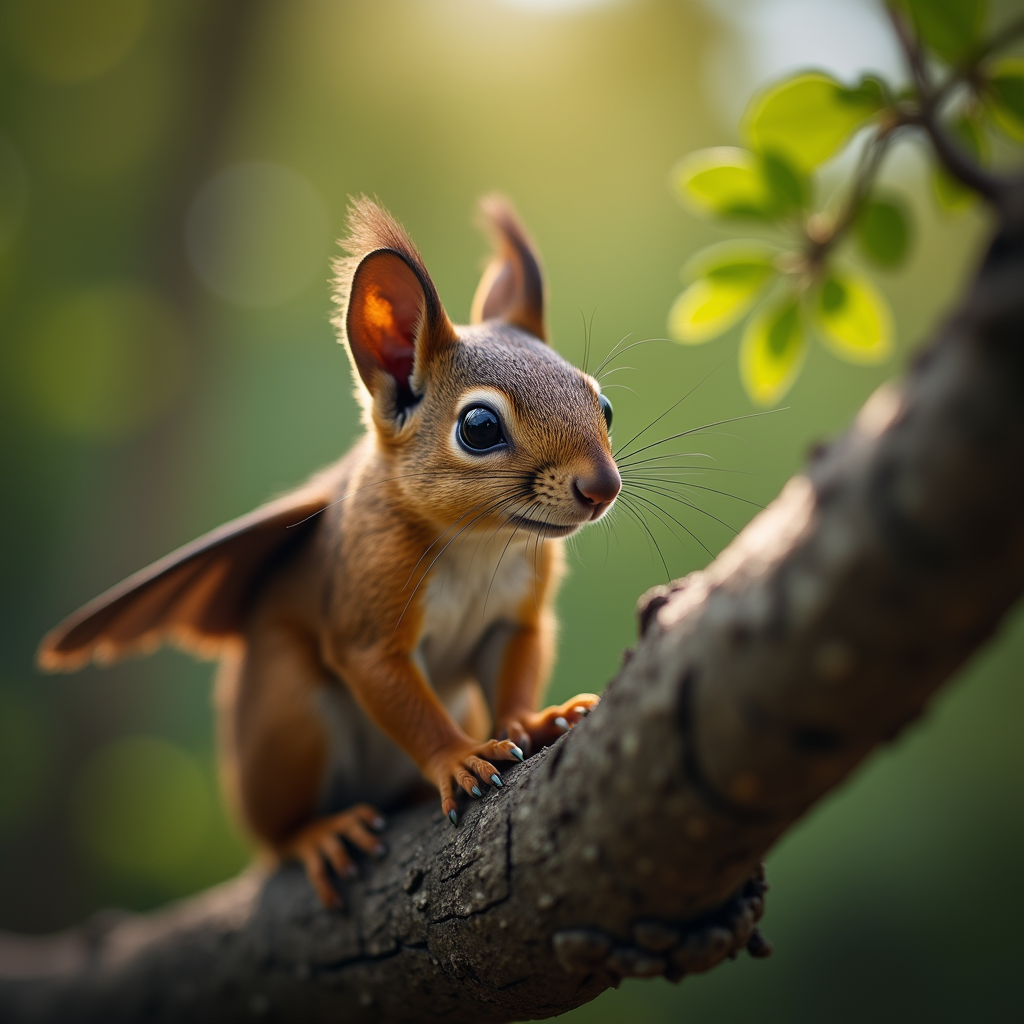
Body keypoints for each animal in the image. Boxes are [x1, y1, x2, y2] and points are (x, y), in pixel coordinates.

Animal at [37, 196, 621, 908]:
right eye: (479, 427)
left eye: (603, 404)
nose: (602, 487)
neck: (479, 544)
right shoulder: (367, 605)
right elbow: (392, 688)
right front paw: (457, 758)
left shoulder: (515, 614)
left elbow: (514, 662)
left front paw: (532, 722)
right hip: (291, 718)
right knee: (280, 834)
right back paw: (318, 836)